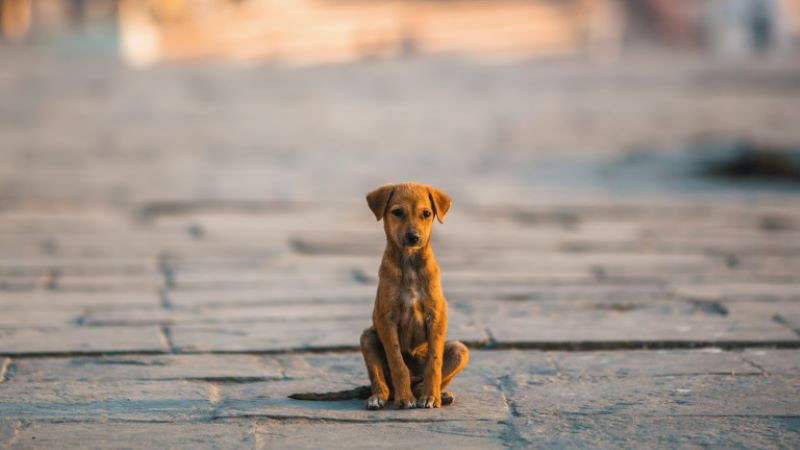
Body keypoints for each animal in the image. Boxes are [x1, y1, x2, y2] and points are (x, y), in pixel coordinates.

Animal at [360, 181, 466, 410]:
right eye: (397, 212)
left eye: (426, 213)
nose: (414, 237)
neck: (409, 263)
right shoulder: (386, 319)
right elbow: (397, 362)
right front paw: (405, 398)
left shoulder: (436, 316)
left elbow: (434, 363)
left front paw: (431, 397)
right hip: (367, 338)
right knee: (383, 383)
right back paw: (379, 397)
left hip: (459, 349)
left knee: (424, 379)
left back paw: (438, 394)